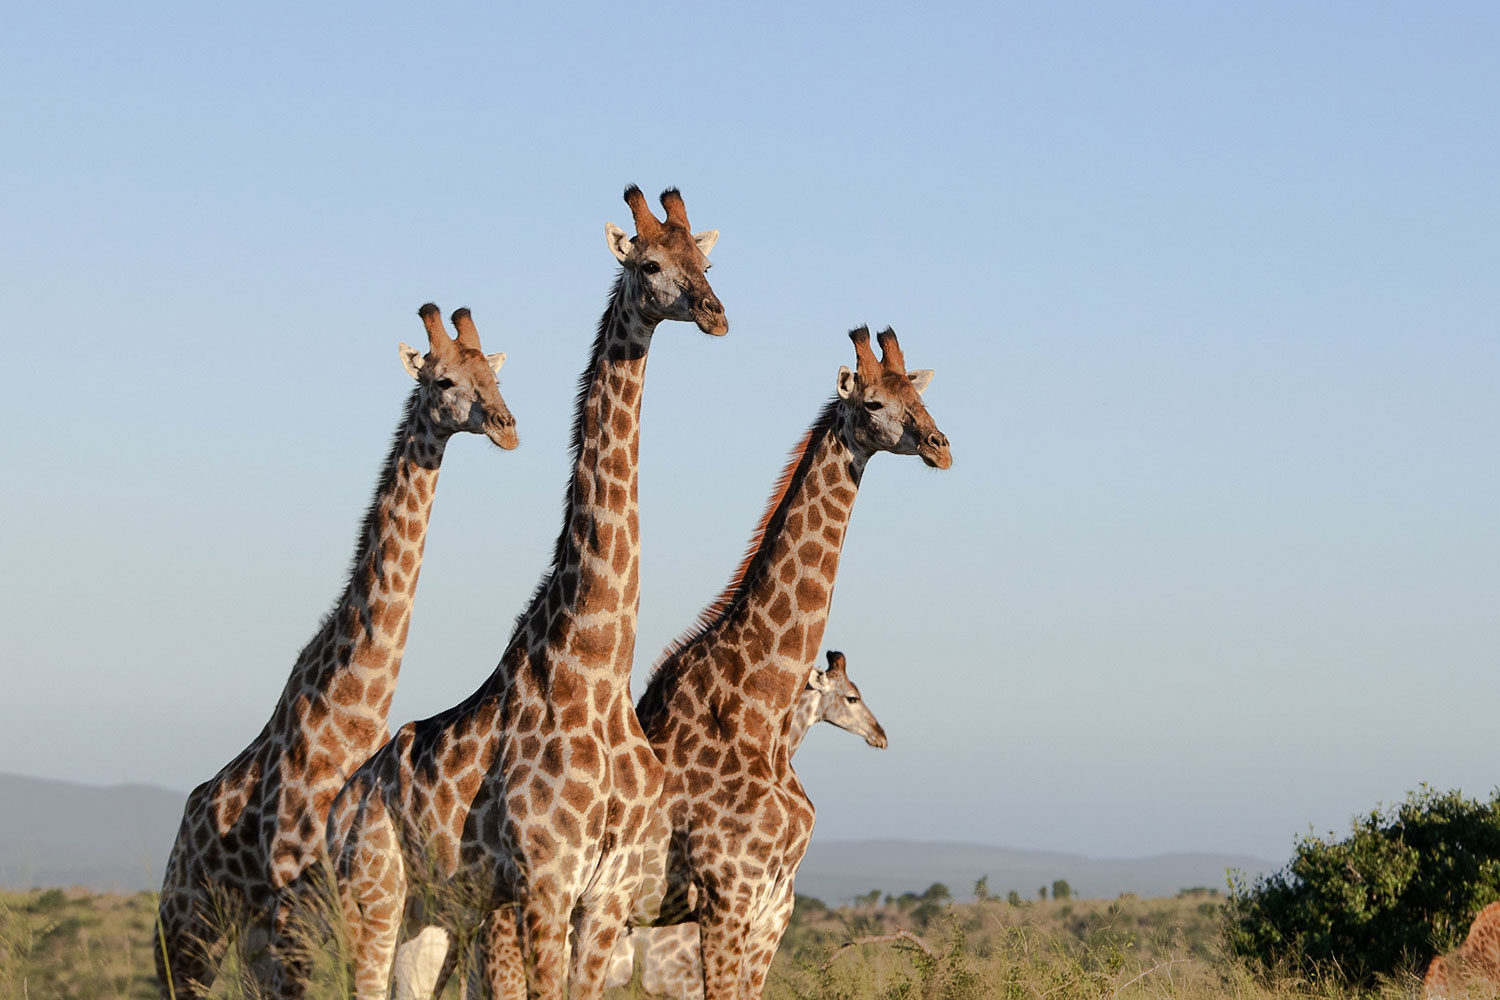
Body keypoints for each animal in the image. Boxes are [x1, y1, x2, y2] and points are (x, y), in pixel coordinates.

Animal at [153, 304, 517, 998]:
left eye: (495, 377)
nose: (507, 428)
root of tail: (182, 833)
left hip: (250, 939)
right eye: (444, 381)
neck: (353, 711)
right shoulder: (296, 906)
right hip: (189, 932)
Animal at [324, 186, 726, 1000]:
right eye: (648, 263)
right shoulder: (545, 881)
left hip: (433, 912)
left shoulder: (605, 895)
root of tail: (343, 801)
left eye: (706, 261)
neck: (596, 664)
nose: (714, 311)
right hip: (374, 894)